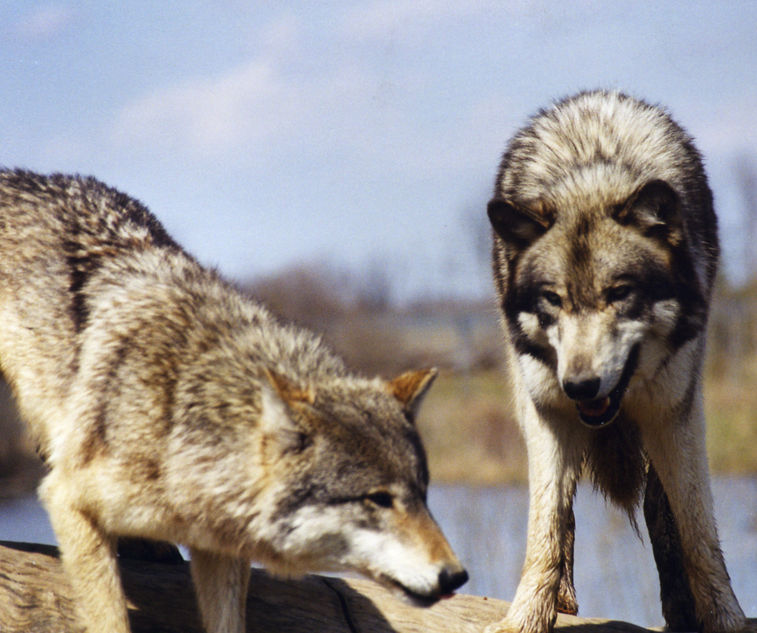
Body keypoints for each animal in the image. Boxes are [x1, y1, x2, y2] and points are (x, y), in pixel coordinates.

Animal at [0, 168, 466, 632]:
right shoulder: (65, 500)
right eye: (378, 499)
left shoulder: (219, 548)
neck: (180, 418)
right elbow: (109, 619)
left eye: (423, 495)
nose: (456, 576)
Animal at [484, 91, 744, 632]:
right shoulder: (549, 410)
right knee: (561, 511)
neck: (591, 181)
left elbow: (697, 532)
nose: (581, 385)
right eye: (553, 299)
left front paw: (722, 616)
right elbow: (545, 527)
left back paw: (680, 607)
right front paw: (526, 618)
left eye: (620, 293)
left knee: (661, 508)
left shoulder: (675, 414)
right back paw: (563, 594)